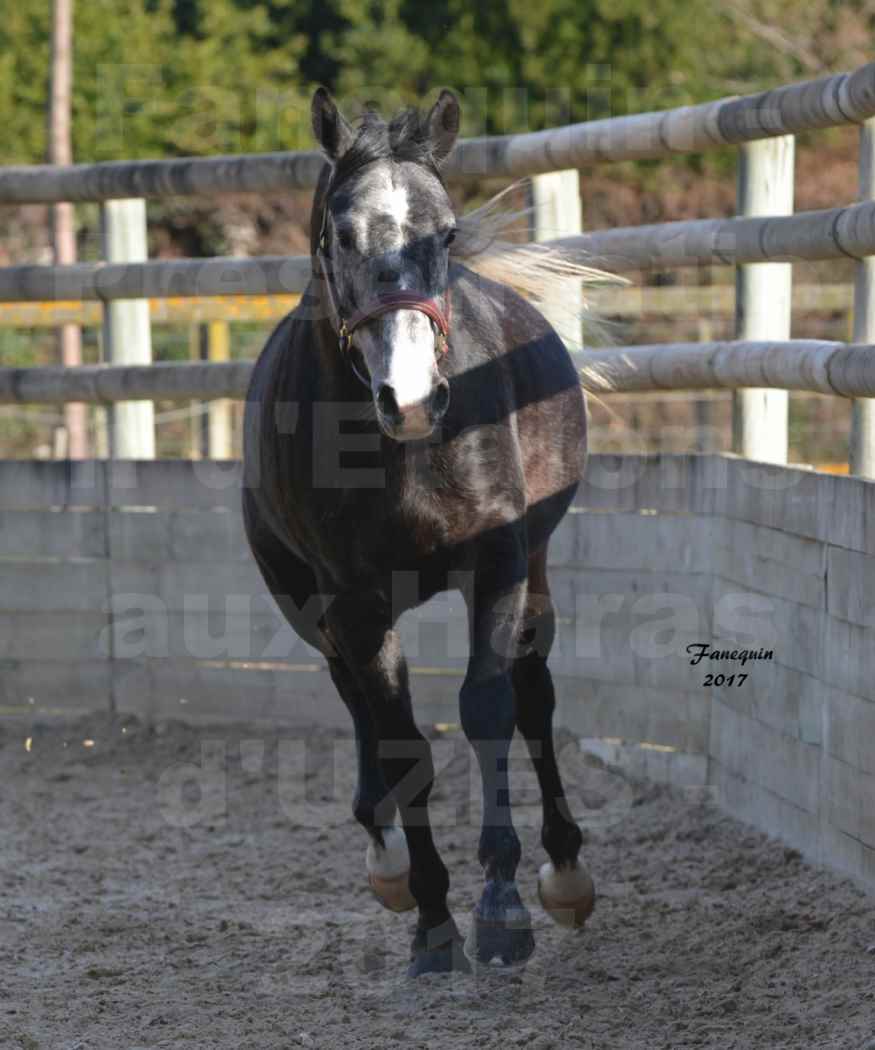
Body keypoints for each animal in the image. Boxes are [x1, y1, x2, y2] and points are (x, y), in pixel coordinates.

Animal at [242, 88, 596, 974]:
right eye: (340, 234)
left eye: (445, 230)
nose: (408, 399)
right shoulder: (352, 604)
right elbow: (402, 745)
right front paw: (433, 918)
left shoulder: (498, 563)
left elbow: (488, 707)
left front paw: (502, 906)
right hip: (310, 608)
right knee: (356, 701)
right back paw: (387, 858)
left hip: (536, 570)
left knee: (533, 691)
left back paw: (566, 873)